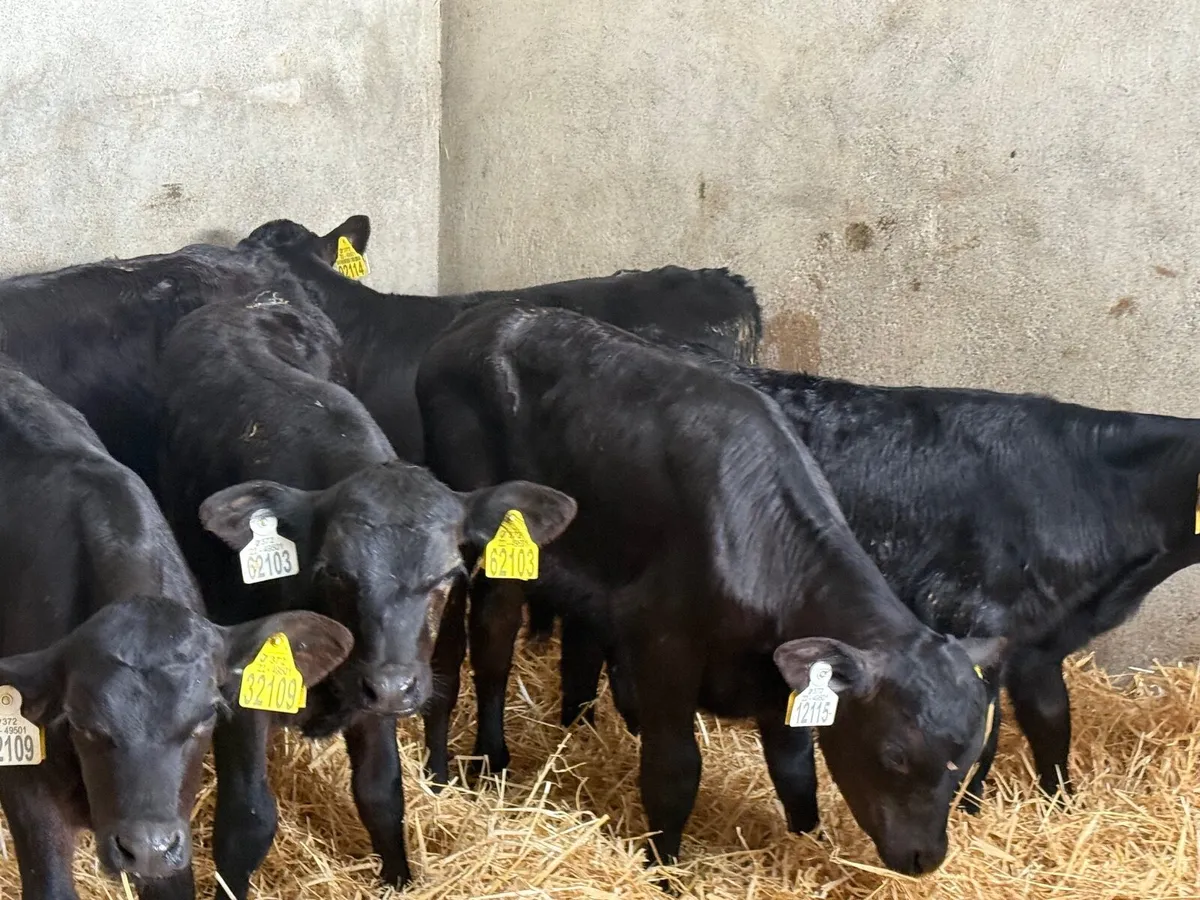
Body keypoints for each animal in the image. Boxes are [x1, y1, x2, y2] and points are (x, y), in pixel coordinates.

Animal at [154, 291, 577, 896]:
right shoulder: (243, 691)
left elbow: (381, 792)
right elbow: (248, 818)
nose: (394, 686)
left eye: (448, 576)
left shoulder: (374, 685)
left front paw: (398, 877)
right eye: (335, 574)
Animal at [413, 300, 1004, 876]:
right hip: (494, 548)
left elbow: (796, 773)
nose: (926, 858)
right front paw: (663, 867)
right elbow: (675, 772)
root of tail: (481, 321)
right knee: (489, 646)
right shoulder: (665, 648)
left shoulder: (782, 685)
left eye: (964, 760)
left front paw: (806, 842)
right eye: (894, 755)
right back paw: (487, 761)